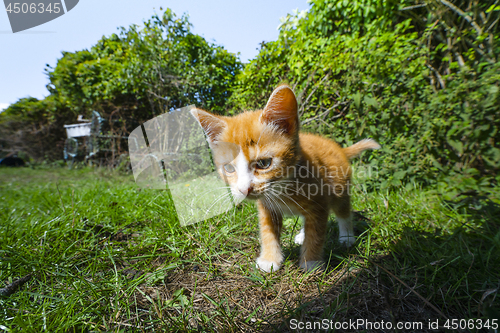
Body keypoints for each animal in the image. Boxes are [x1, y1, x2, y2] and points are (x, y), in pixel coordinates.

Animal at [191, 84, 378, 272]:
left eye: (264, 163)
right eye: (229, 168)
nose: (244, 189)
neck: (282, 188)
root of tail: (339, 148)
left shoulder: (320, 200)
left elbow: (316, 231)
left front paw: (311, 261)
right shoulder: (266, 207)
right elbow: (268, 231)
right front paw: (269, 259)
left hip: (340, 187)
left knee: (342, 210)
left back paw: (347, 237)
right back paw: (302, 235)